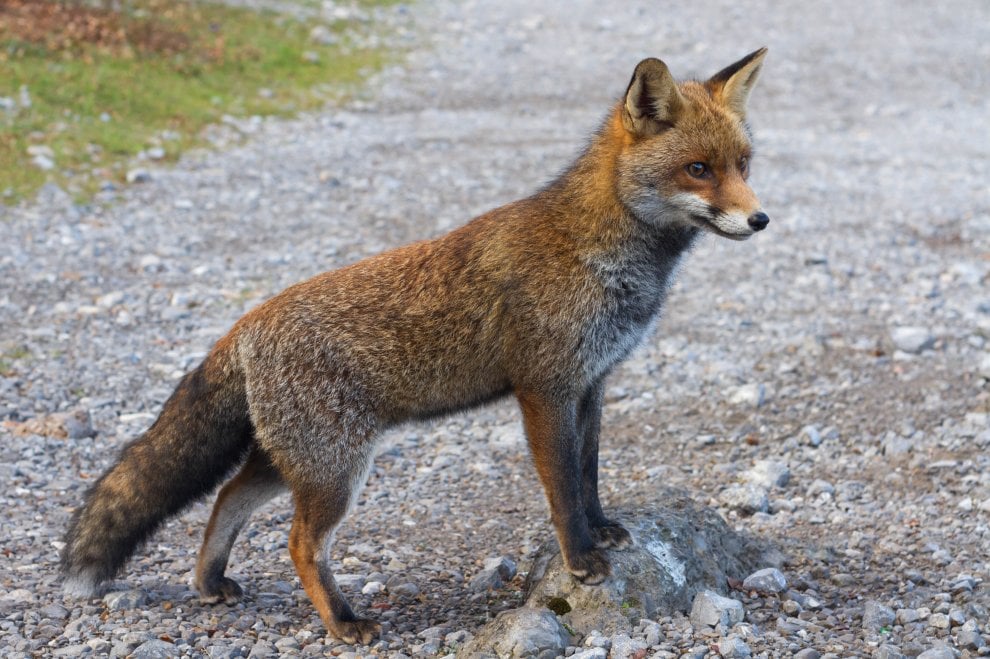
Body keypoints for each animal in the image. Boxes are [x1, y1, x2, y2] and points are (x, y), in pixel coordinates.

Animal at [61, 49, 770, 644]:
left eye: (743, 165)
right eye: (698, 170)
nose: (761, 219)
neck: (601, 252)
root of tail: (247, 320)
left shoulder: (592, 385)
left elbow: (589, 476)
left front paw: (601, 533)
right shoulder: (544, 390)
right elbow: (563, 489)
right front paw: (580, 558)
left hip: (294, 460)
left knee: (227, 498)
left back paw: (210, 583)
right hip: (336, 470)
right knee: (298, 544)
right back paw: (343, 623)